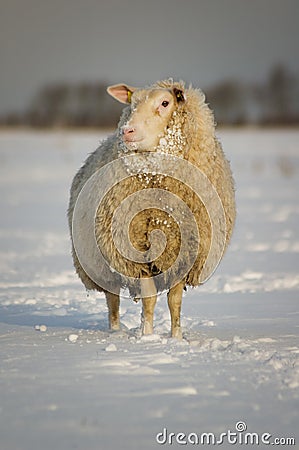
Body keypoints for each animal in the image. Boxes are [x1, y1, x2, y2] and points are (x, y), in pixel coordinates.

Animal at [68, 79, 237, 338]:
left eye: (165, 103)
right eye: (132, 103)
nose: (127, 131)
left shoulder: (183, 250)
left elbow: (174, 302)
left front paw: (176, 338)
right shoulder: (136, 252)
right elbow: (149, 301)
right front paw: (147, 336)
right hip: (101, 261)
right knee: (112, 300)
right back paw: (115, 331)